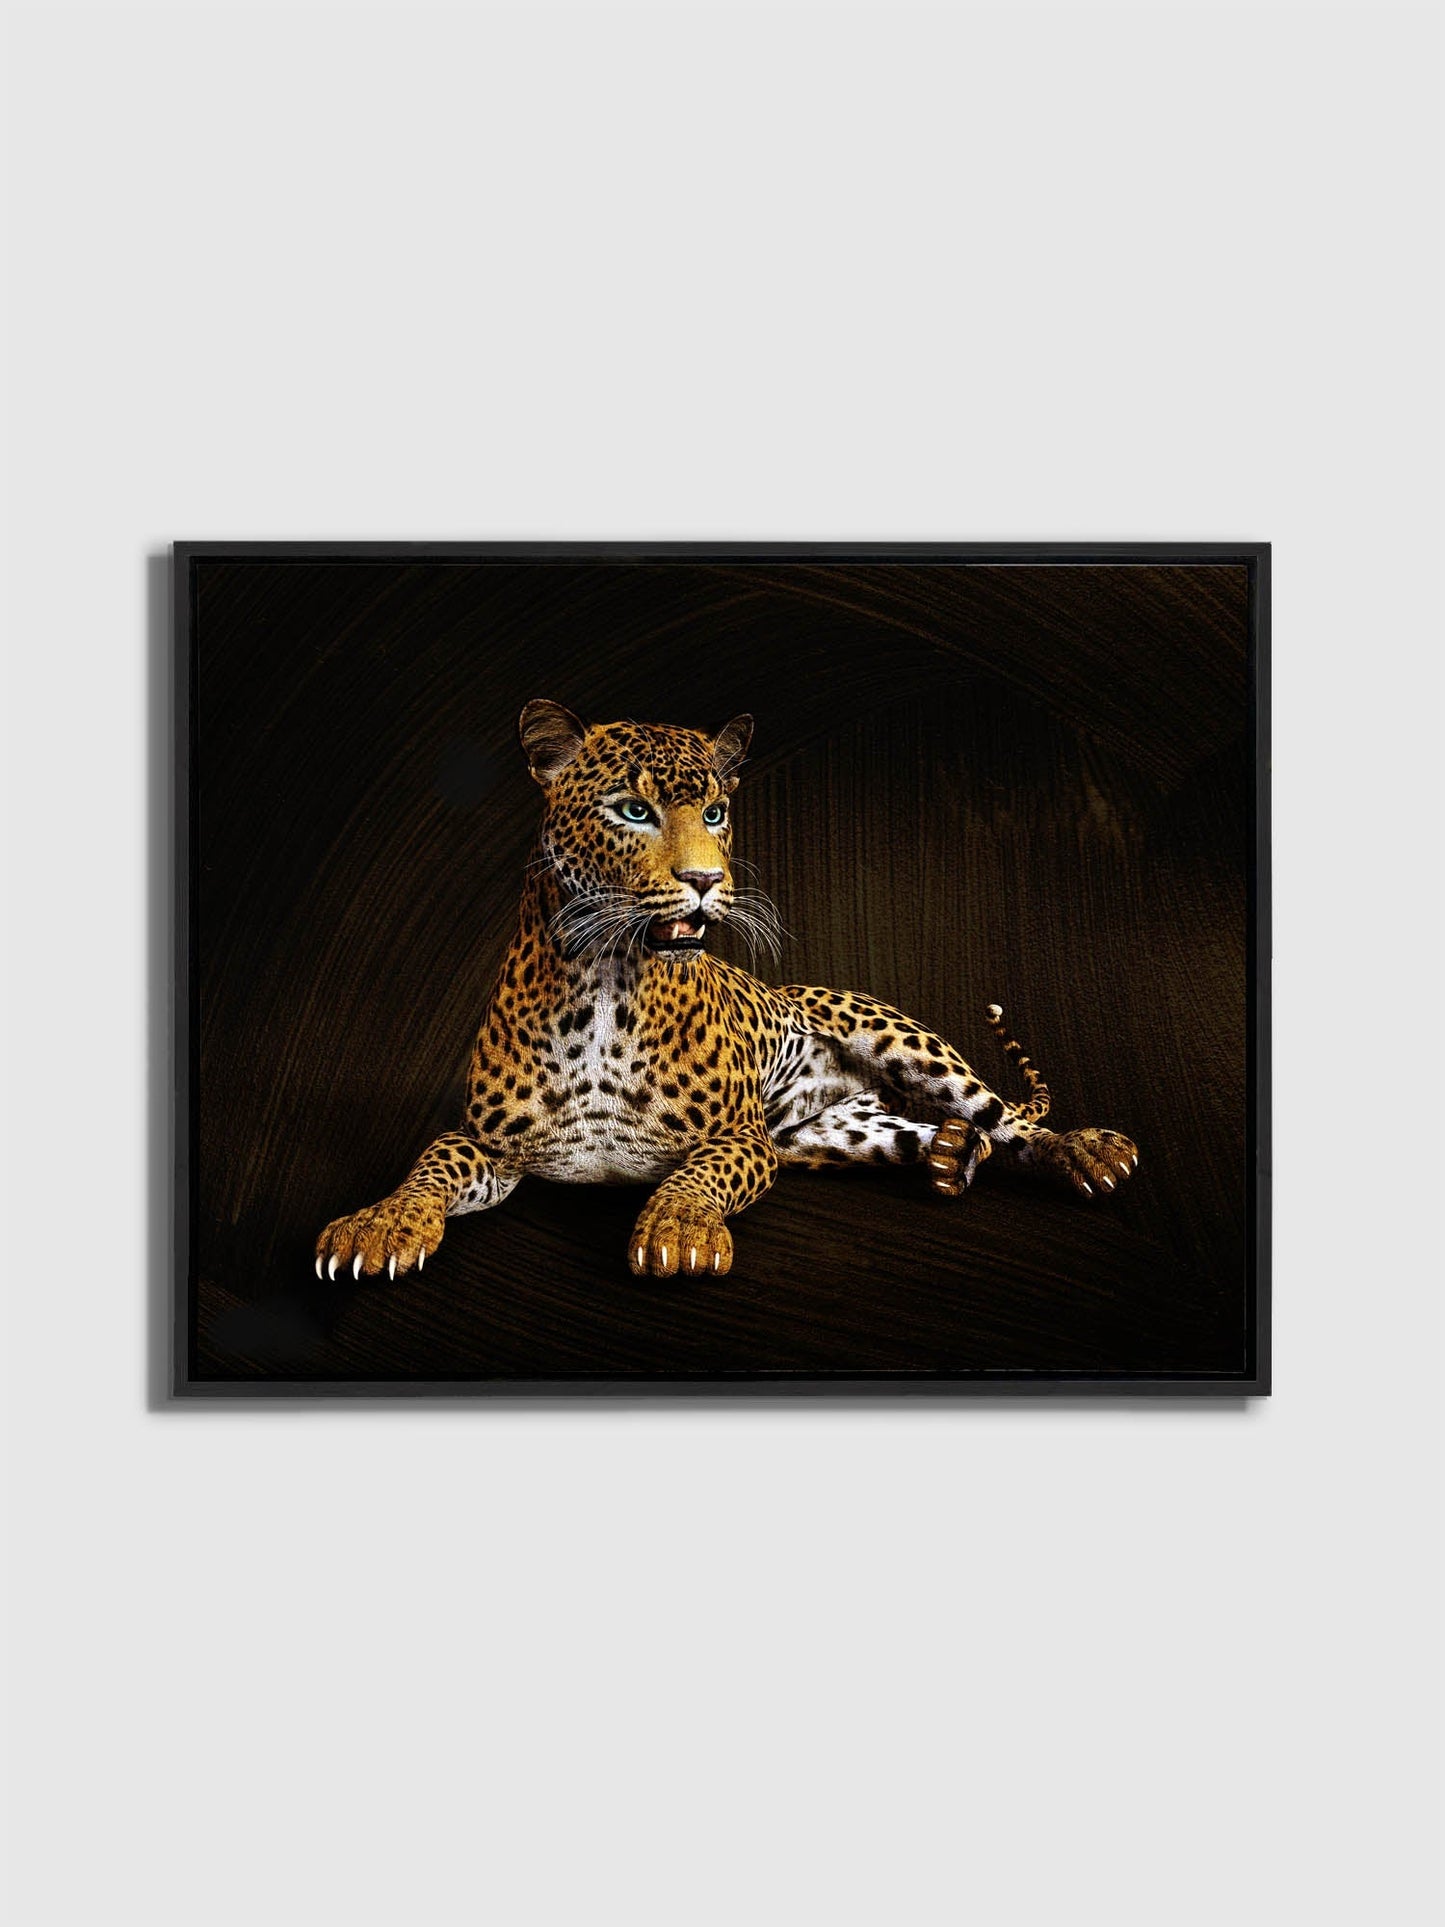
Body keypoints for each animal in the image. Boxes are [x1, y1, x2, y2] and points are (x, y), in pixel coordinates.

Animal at [315, 701, 1139, 1283]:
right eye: (633, 810)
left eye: (715, 813)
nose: (706, 879)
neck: (605, 983)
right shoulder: (490, 1143)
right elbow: (429, 1165)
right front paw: (378, 1223)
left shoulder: (740, 1137)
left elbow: (697, 1173)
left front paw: (678, 1231)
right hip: (826, 1136)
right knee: (927, 1133)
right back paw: (947, 1154)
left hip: (904, 1041)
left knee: (1005, 1118)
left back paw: (1087, 1150)